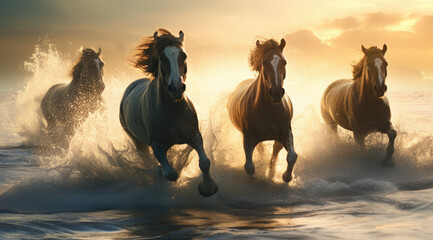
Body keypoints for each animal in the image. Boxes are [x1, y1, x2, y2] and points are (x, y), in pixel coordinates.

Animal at [118, 28, 218, 197]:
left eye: (184, 55)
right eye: (161, 57)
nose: (176, 87)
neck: (173, 110)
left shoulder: (194, 135)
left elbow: (204, 162)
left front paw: (208, 188)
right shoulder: (156, 144)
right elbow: (170, 173)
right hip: (138, 142)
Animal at [226, 38, 296, 183]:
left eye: (284, 61)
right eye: (264, 62)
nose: (276, 93)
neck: (268, 110)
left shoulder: (285, 132)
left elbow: (292, 156)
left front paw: (286, 176)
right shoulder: (248, 137)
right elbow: (249, 167)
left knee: (274, 151)